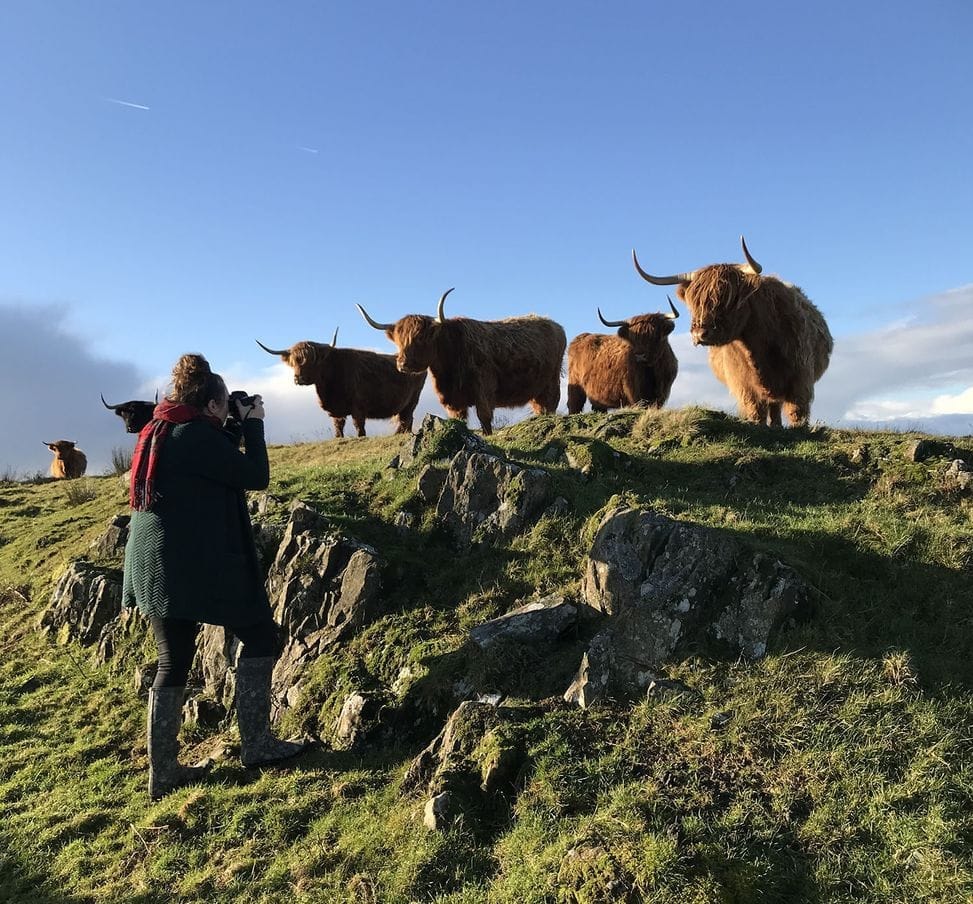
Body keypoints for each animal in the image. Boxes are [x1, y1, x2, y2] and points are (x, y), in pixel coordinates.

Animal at [254, 324, 426, 438]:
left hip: (412, 400)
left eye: (312, 361)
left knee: (406, 418)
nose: (298, 378)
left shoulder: (358, 407)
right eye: (293, 362)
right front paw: (339, 438)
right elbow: (338, 426)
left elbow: (359, 426)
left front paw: (361, 437)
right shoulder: (337, 410)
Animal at [360, 286, 564, 434]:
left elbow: (484, 417)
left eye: (421, 338)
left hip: (551, 383)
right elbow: (459, 421)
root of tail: (555, 325)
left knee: (550, 404)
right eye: (398, 341)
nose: (403, 364)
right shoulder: (453, 401)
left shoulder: (483, 390)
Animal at [636, 237, 832, 428]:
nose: (699, 334)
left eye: (728, 298)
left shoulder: (801, 379)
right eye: (694, 302)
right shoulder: (744, 385)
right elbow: (756, 411)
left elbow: (797, 412)